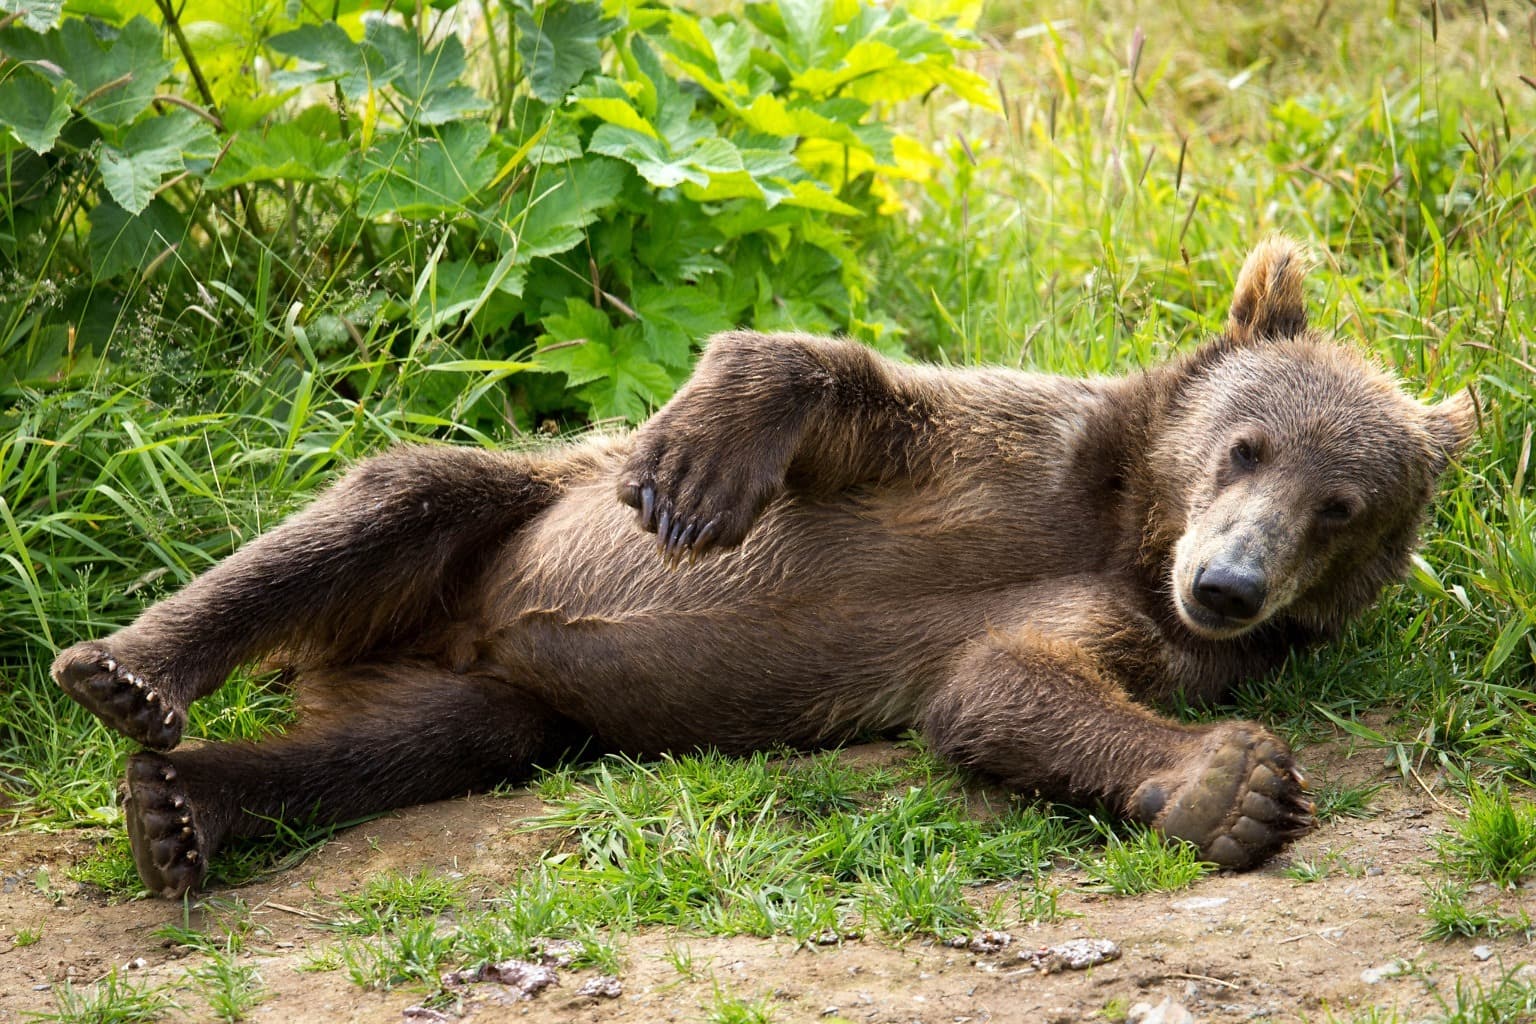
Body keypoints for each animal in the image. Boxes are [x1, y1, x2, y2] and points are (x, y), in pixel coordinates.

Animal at [51, 237, 1474, 896]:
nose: (1226, 585)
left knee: (397, 747)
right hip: (499, 528)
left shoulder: (1133, 633)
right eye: (1246, 444)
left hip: (515, 707)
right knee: (390, 501)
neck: (1124, 529)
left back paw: (182, 807)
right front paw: (695, 473)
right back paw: (127, 673)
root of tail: (461, 638)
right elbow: (826, 376)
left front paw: (1230, 786)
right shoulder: (1002, 458)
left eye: (1342, 506)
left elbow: (1006, 686)